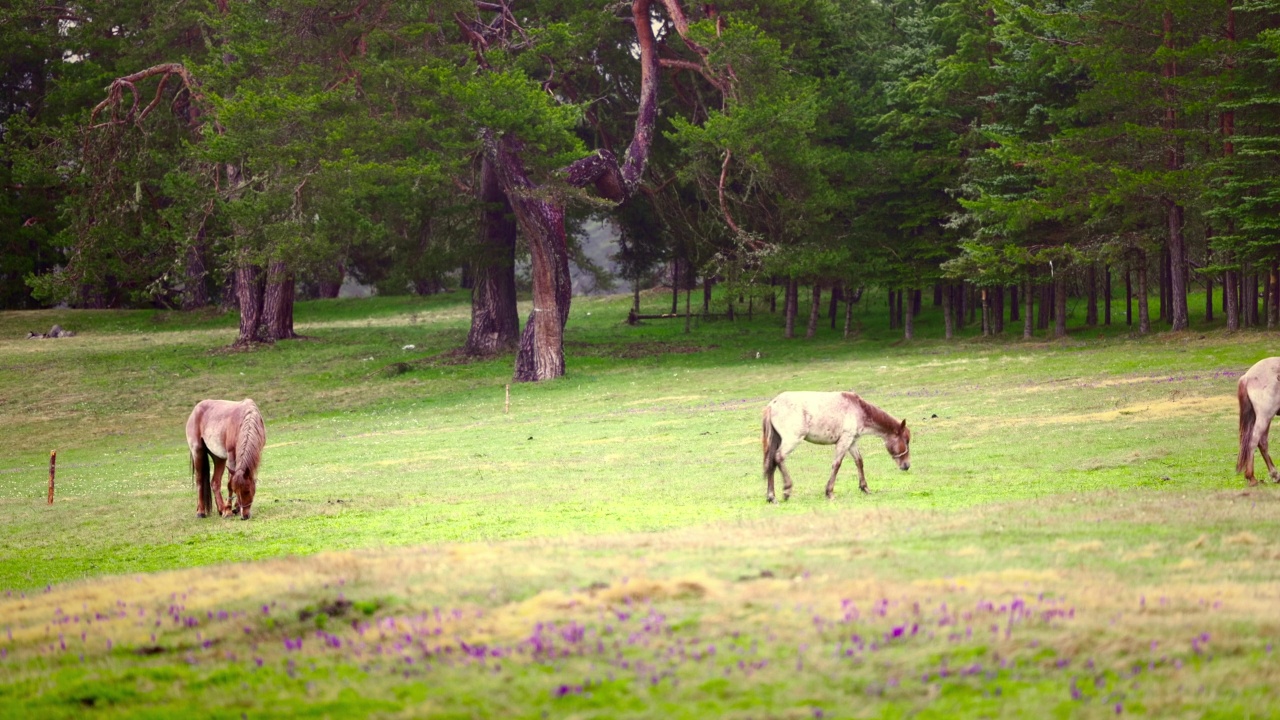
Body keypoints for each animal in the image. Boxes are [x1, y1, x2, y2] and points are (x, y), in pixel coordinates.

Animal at [757, 389, 911, 502]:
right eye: (906, 441)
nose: (907, 465)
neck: (858, 408)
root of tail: (773, 404)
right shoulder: (844, 440)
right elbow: (837, 464)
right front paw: (829, 492)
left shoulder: (851, 442)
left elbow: (859, 461)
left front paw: (865, 488)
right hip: (792, 440)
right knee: (779, 457)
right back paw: (787, 490)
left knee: (771, 462)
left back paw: (771, 497)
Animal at [1228, 356, 1280, 484]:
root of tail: (1247, 377)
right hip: (1265, 415)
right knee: (1254, 441)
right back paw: (1251, 477)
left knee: (1262, 442)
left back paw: (1274, 475)